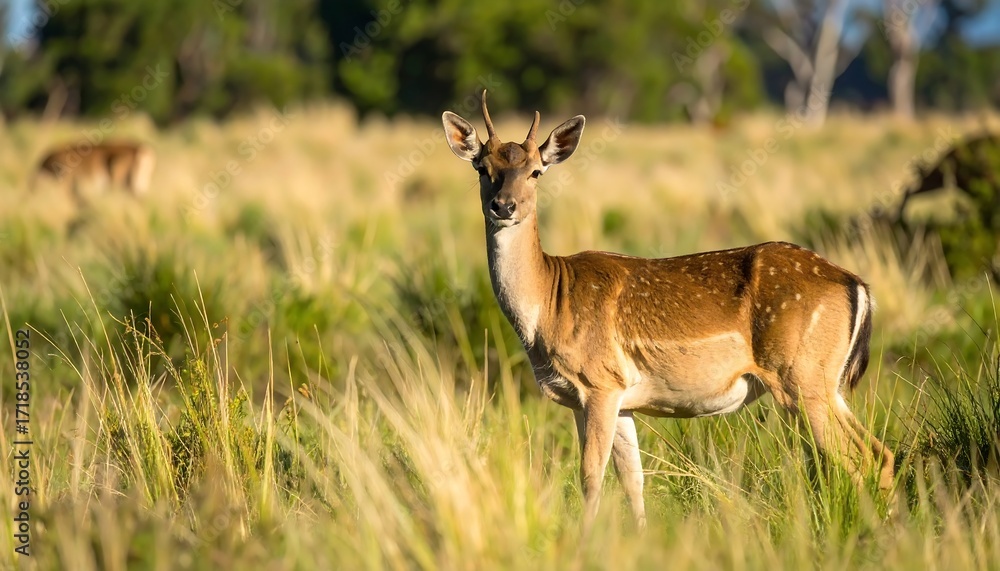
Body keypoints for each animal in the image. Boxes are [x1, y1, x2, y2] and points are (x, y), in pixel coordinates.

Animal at [442, 91, 895, 533]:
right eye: (482, 168)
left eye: (536, 171)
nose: (504, 206)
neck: (547, 307)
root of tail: (858, 285)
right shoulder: (614, 397)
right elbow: (633, 480)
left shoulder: (599, 383)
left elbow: (590, 475)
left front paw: (584, 541)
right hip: (826, 381)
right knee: (881, 453)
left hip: (799, 375)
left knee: (858, 457)